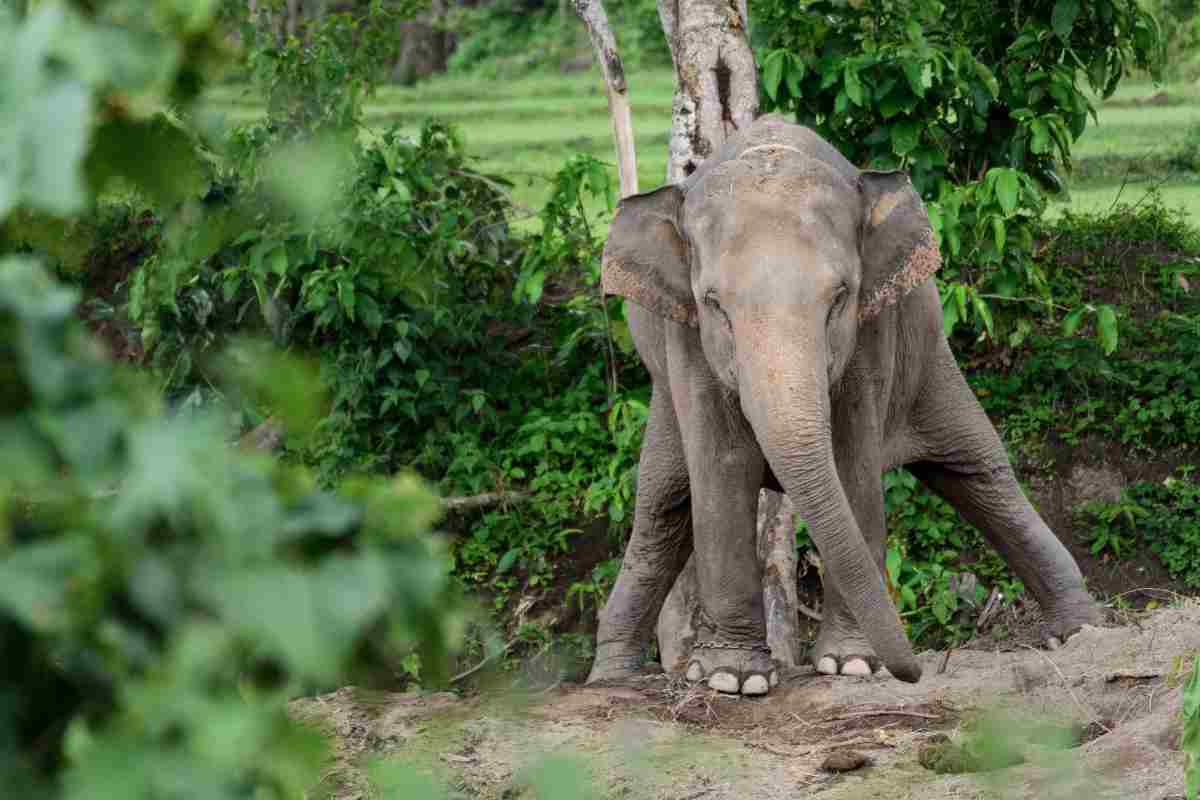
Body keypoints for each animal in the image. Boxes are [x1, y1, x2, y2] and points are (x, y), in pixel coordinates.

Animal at [585, 115, 1099, 695]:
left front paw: (851, 664)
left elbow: (853, 460)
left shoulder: (873, 332)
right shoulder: (687, 343)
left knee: (979, 472)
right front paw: (733, 678)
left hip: (930, 360)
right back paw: (610, 678)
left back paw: (1083, 634)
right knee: (661, 510)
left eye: (840, 297)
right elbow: (721, 468)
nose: (915, 671)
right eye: (714, 303)